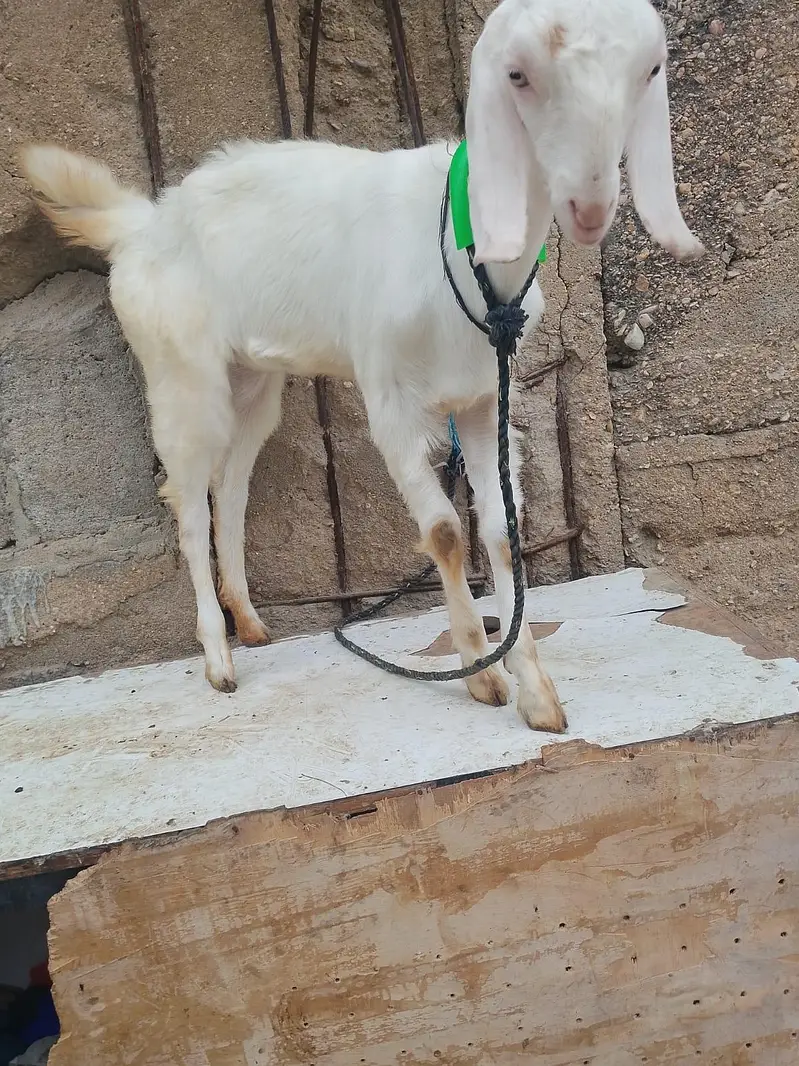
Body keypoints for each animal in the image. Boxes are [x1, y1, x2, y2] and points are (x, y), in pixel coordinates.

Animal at [20, 0, 702, 732]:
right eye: (518, 75)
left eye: (646, 71)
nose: (591, 204)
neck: (463, 259)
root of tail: (142, 224)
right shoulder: (390, 399)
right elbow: (443, 532)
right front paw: (479, 674)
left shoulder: (484, 399)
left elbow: (499, 531)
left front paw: (537, 695)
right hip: (182, 374)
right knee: (188, 501)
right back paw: (218, 660)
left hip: (251, 380)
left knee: (231, 484)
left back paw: (250, 622)